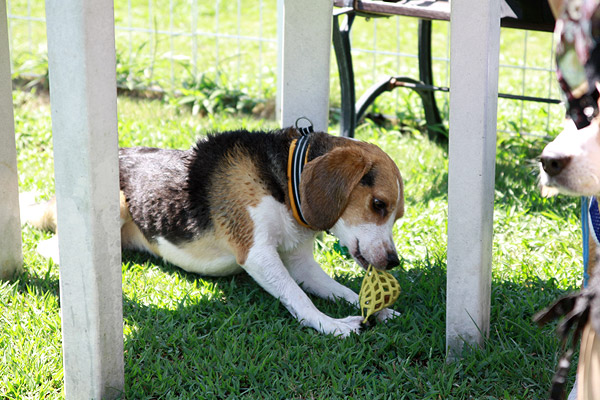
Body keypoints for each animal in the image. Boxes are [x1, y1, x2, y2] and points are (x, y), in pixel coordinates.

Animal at [25, 127, 406, 338]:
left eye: (398, 215)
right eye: (378, 204)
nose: (393, 262)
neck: (283, 179)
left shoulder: (301, 264)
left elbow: (339, 289)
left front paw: (376, 309)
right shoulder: (257, 254)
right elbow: (299, 298)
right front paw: (331, 325)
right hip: (115, 203)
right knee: (48, 247)